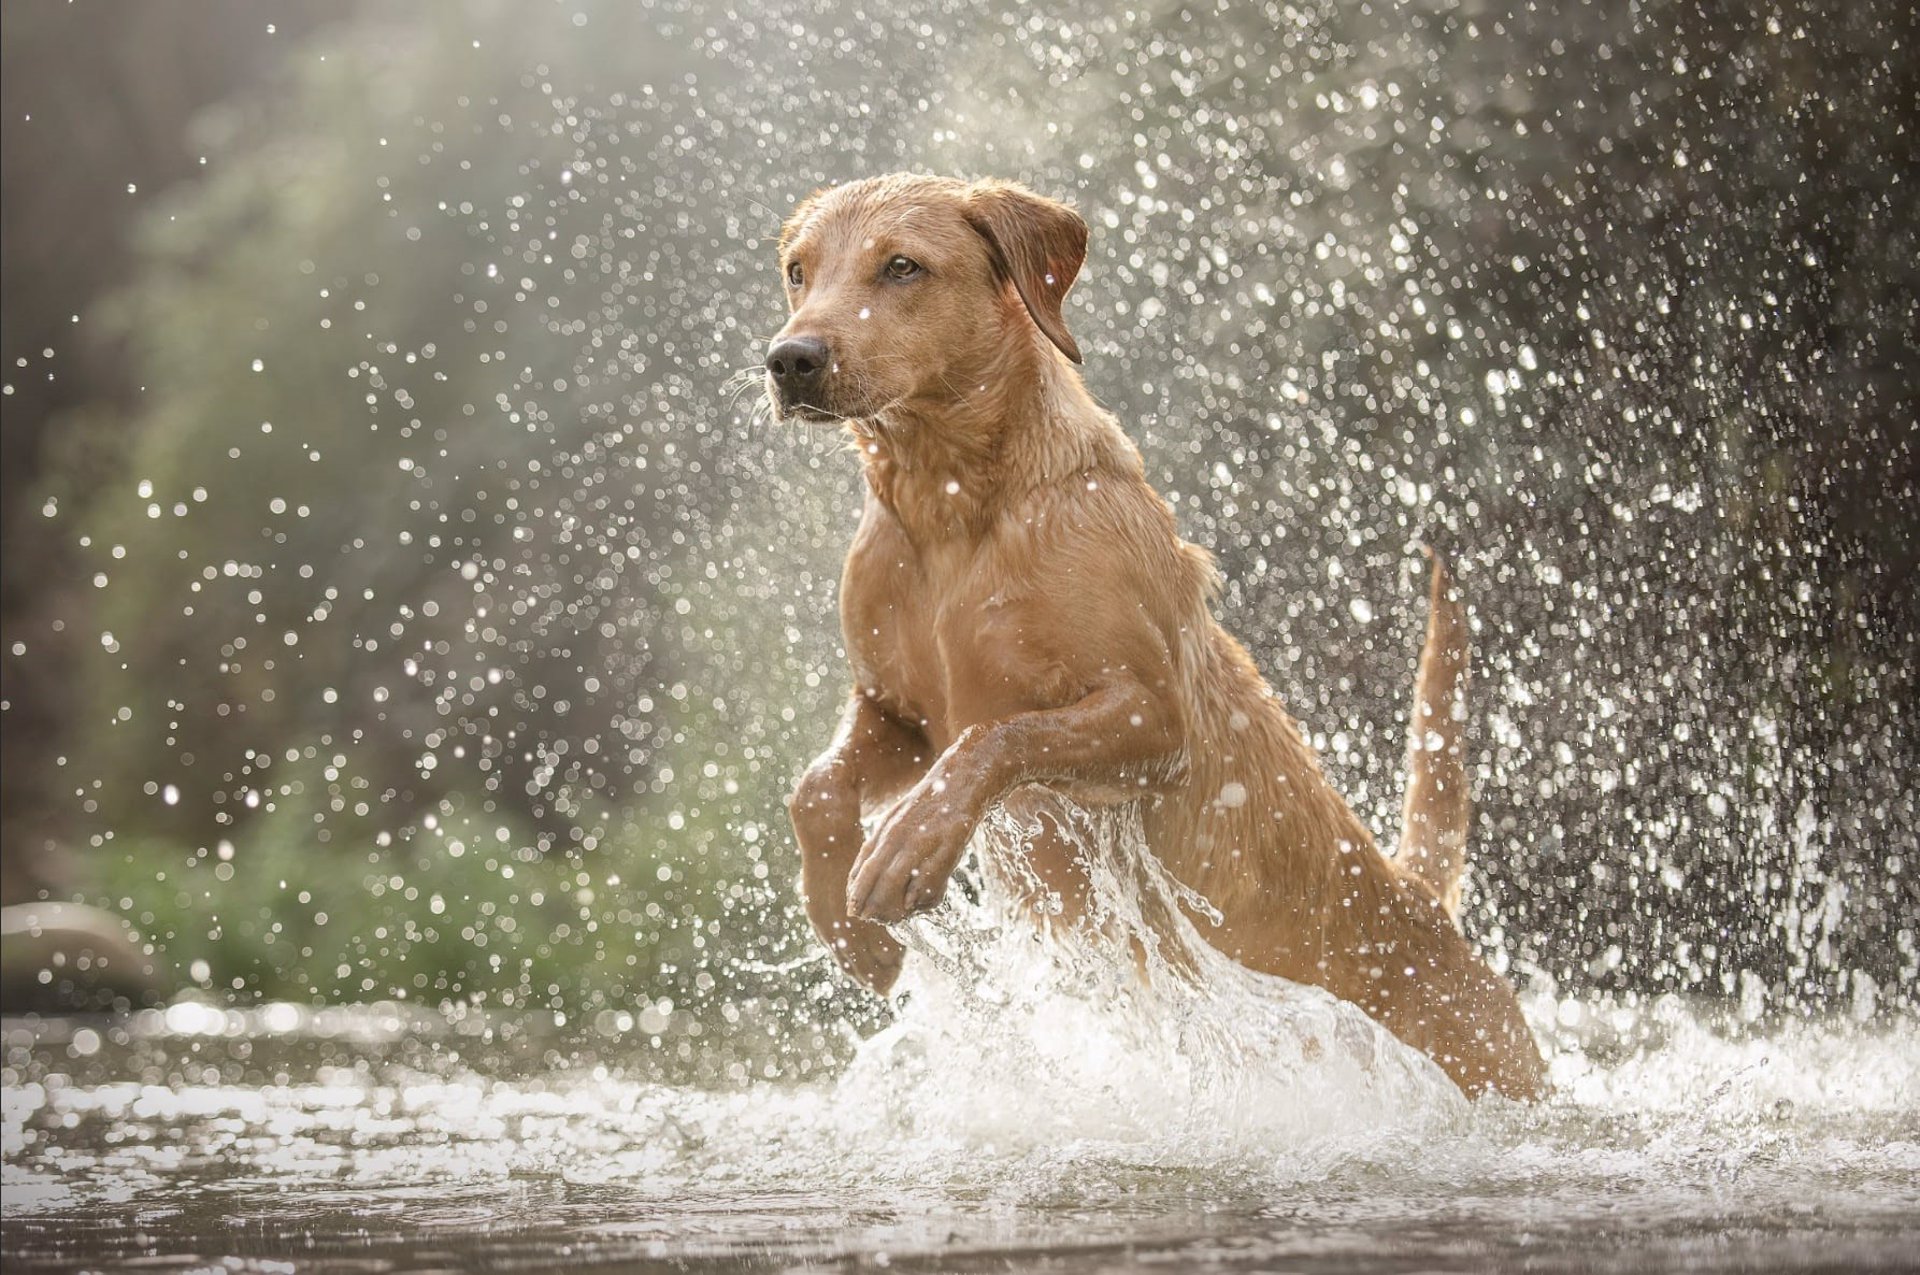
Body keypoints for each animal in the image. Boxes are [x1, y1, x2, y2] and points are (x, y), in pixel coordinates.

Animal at [764, 174, 1543, 1098]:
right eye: (798, 271)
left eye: (902, 266)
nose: (790, 359)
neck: (951, 508)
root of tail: (1420, 900)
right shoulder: (898, 712)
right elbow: (815, 786)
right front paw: (851, 932)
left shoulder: (1154, 719)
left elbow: (1000, 736)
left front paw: (909, 845)